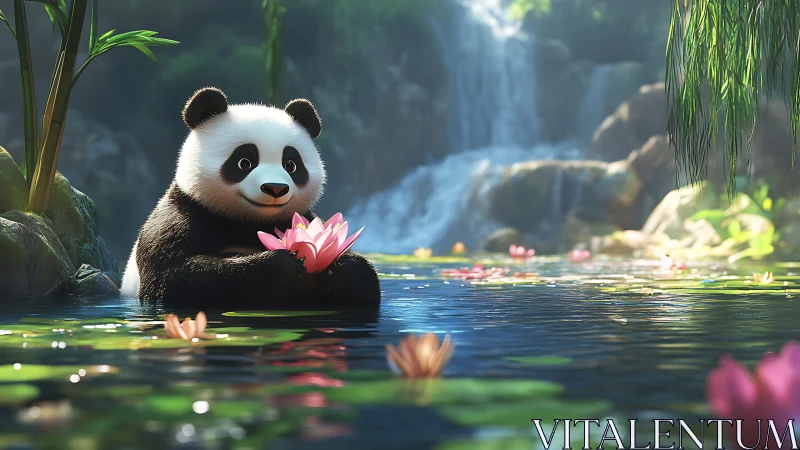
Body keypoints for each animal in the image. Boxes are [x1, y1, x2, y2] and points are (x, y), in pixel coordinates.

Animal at [120, 87, 381, 308]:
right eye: (244, 162)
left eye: (291, 164)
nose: (275, 188)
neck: (248, 222)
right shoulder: (180, 216)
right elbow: (176, 278)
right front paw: (282, 265)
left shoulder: (304, 219)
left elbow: (365, 282)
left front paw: (342, 267)